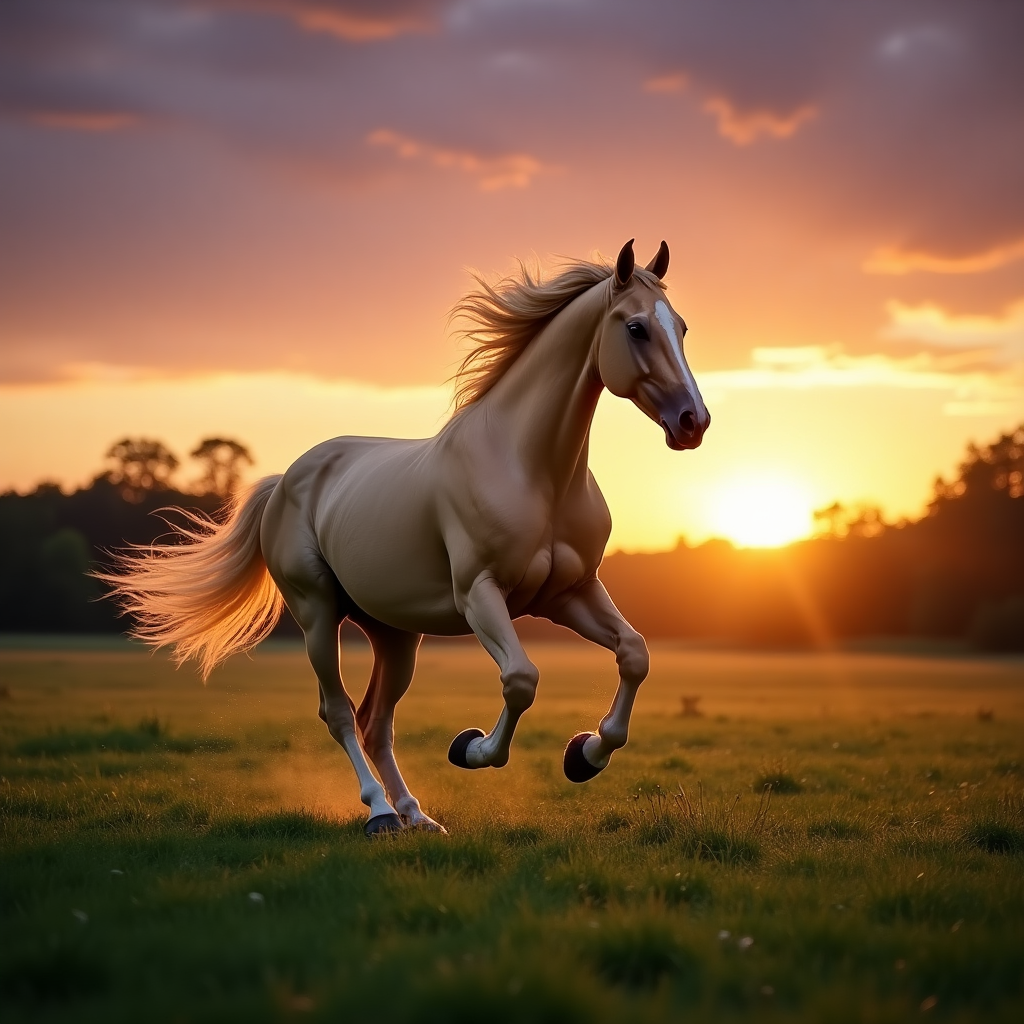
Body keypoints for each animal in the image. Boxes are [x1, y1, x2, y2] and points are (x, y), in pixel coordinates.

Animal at [102, 239, 709, 835]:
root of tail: (286, 482)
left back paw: (416, 814)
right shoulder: (480, 595)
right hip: (317, 614)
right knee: (340, 713)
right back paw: (380, 812)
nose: (693, 422)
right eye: (637, 328)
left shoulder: (568, 593)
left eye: (681, 327)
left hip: (395, 635)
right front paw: (470, 748)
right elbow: (521, 679)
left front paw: (584, 755)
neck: (533, 471)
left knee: (375, 721)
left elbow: (634, 655)